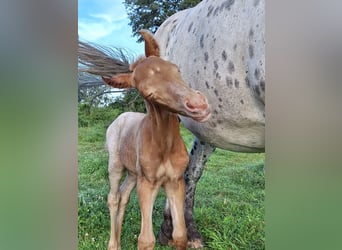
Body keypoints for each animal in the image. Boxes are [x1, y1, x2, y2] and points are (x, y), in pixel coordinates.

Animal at [103, 29, 211, 250]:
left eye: (176, 69)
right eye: (147, 92)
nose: (198, 105)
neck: (165, 146)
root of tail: (122, 116)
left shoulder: (175, 181)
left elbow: (180, 234)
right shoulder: (148, 183)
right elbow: (146, 240)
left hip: (134, 173)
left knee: (124, 195)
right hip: (116, 164)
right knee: (113, 198)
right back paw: (113, 244)